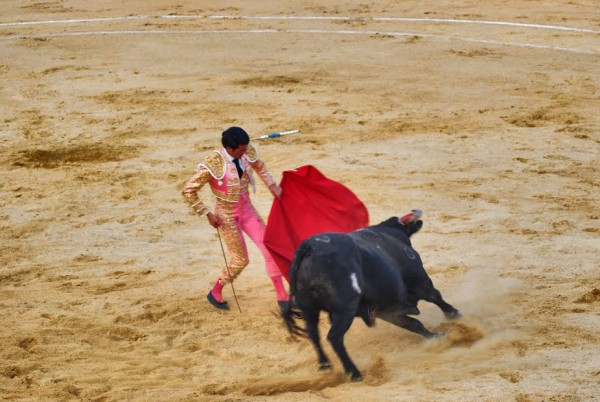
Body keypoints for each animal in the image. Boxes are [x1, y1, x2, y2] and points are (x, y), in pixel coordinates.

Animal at [280, 212, 460, 382]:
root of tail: (310, 247)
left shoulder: (384, 311)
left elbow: (413, 324)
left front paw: (435, 336)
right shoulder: (420, 282)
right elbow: (435, 297)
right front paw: (454, 315)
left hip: (309, 308)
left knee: (313, 333)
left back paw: (325, 365)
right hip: (344, 310)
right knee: (334, 337)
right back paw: (354, 372)